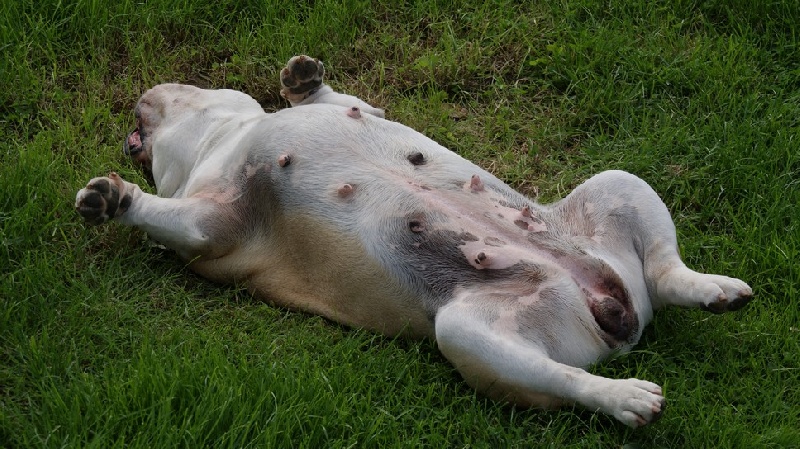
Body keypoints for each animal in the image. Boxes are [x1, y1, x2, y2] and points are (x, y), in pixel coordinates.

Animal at [73, 54, 752, 426]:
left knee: (662, 266)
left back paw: (713, 289)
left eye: (185, 88)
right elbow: (176, 219)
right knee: (558, 374)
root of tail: (618, 316)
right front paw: (114, 200)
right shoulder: (210, 226)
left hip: (614, 194)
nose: (142, 97)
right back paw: (625, 396)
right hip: (471, 330)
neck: (228, 139)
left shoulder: (344, 111)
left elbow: (340, 98)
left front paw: (301, 78)